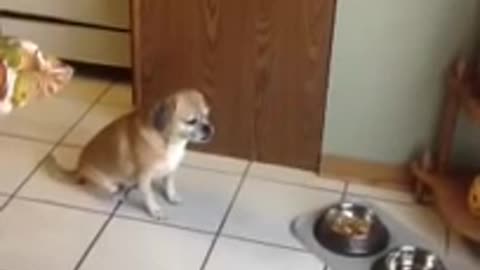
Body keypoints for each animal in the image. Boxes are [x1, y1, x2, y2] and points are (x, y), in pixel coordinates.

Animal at [64, 89, 214, 218]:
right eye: (191, 121)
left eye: (207, 115)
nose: (208, 128)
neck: (168, 140)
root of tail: (78, 168)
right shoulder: (145, 175)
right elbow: (149, 196)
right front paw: (155, 210)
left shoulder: (171, 169)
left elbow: (169, 185)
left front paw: (171, 196)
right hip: (103, 180)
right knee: (112, 188)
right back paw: (119, 194)